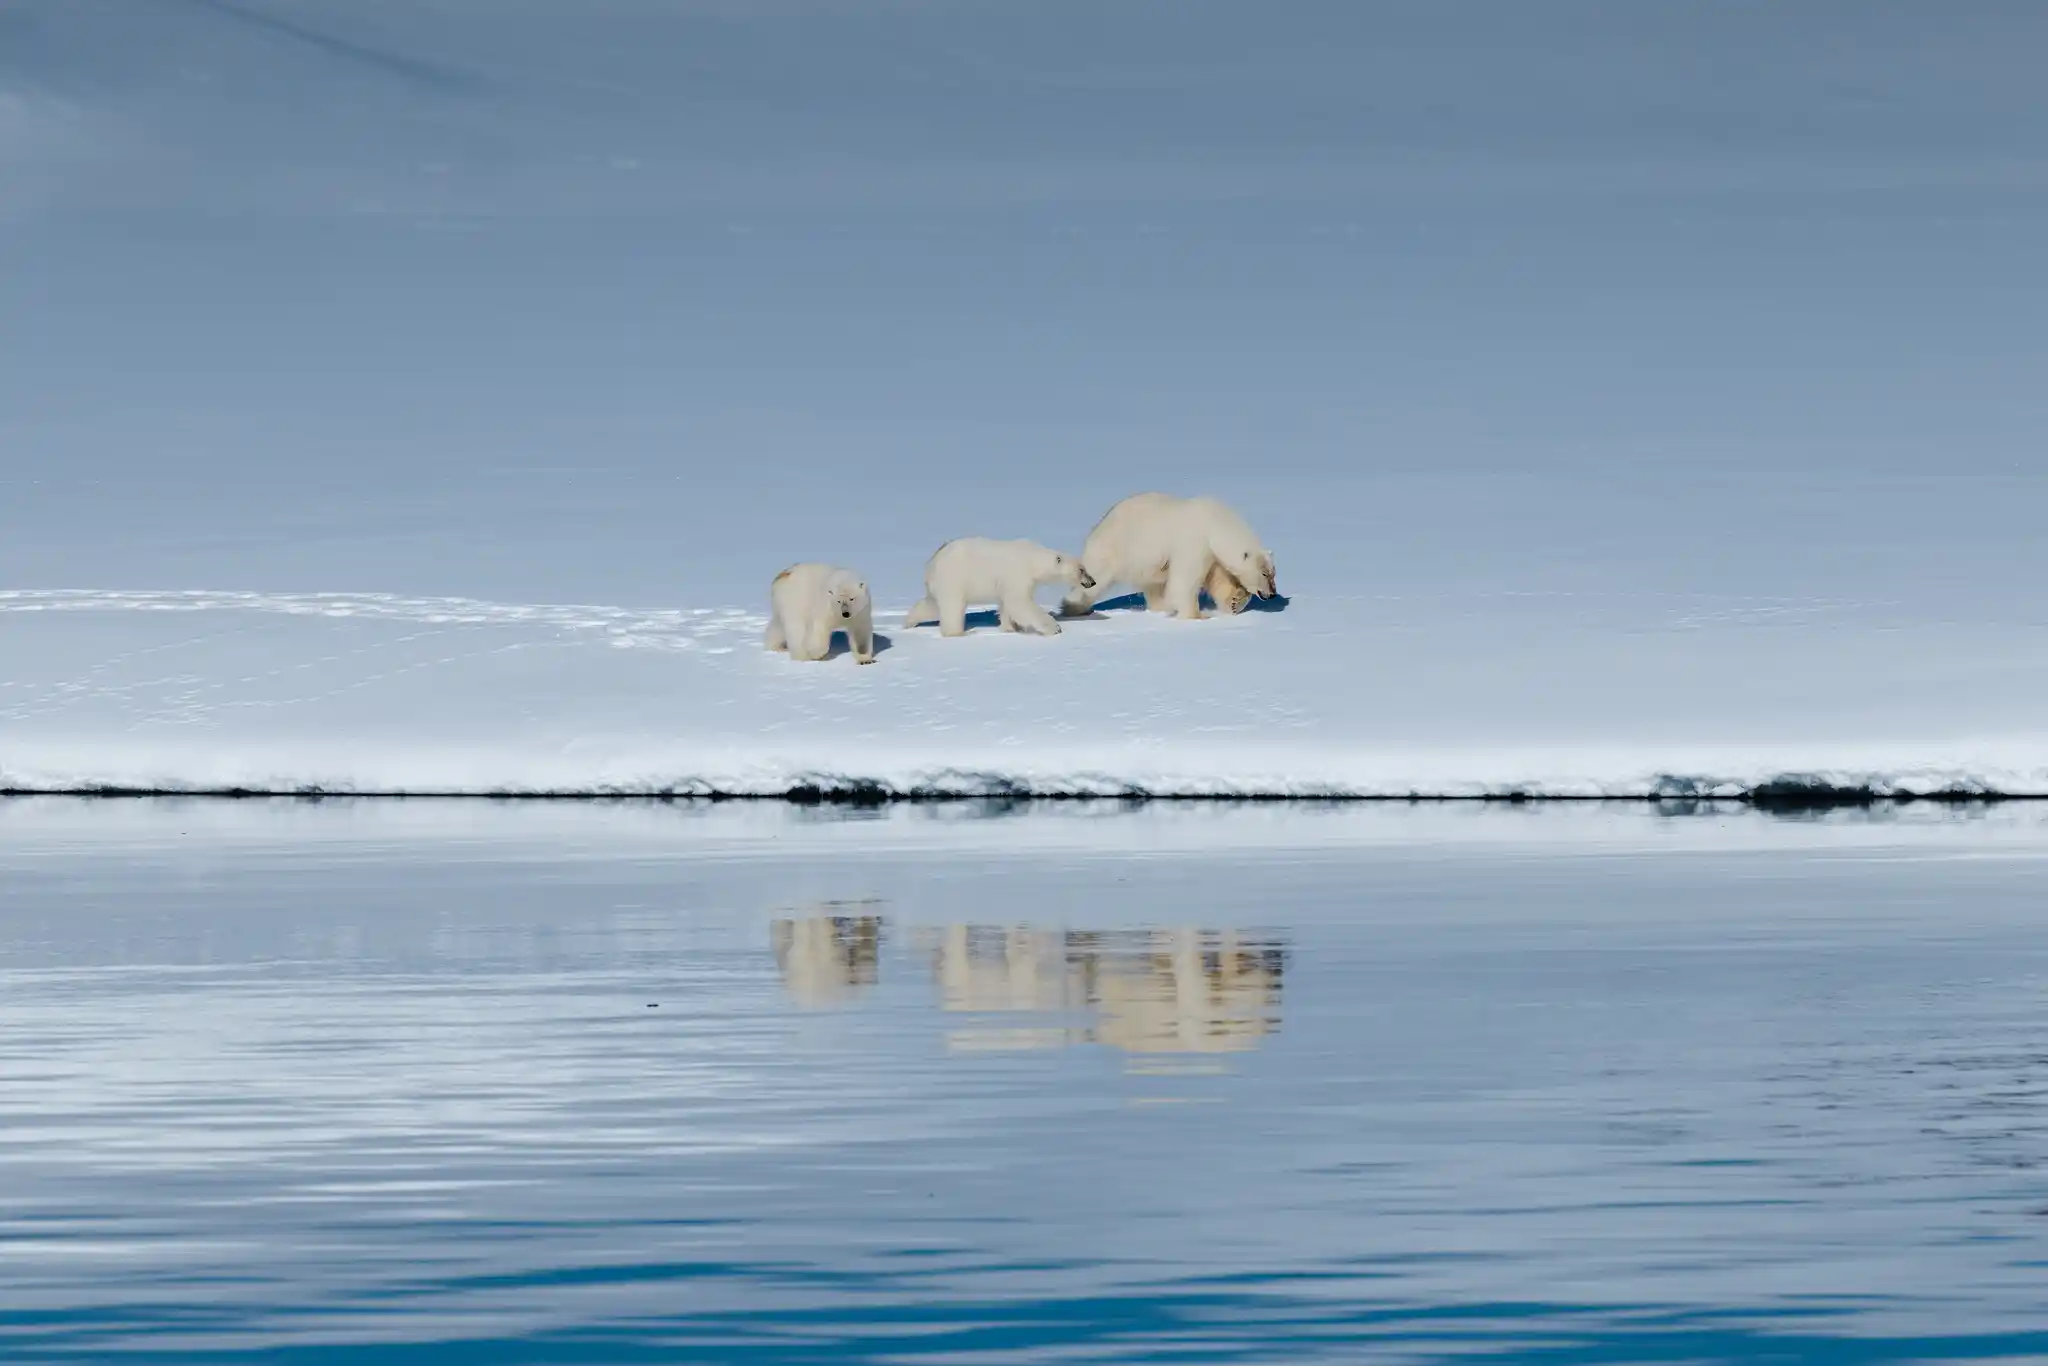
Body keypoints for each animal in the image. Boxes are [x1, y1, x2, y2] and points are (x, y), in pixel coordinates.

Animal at [901, 537, 1094, 637]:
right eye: (1081, 569)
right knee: (952, 606)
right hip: (953, 579)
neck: (1032, 559)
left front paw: (1010, 628)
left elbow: (1007, 604)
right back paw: (959, 633)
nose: (1092, 582)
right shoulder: (1017, 574)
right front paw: (1054, 628)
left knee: (932, 604)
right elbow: (1019, 602)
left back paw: (908, 622)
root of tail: (932, 562)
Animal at [1060, 492, 1277, 620]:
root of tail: (1096, 527)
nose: (1272, 594)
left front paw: (1235, 601)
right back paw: (1074, 608)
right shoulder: (1193, 542)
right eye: (1264, 573)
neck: (1215, 523)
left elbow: (1218, 580)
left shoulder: (1211, 554)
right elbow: (1185, 580)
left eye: (1273, 572)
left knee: (1154, 587)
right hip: (1113, 550)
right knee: (1095, 579)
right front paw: (1197, 616)